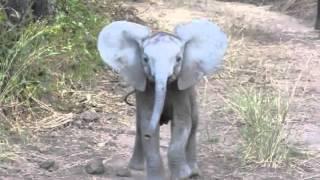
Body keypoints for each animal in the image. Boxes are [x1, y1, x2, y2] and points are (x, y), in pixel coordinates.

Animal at [97, 19, 228, 180]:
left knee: (194, 124)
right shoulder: (146, 90)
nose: (148, 133)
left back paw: (194, 172)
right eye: (145, 59)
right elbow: (146, 123)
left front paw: (182, 176)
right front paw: (157, 177)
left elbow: (182, 124)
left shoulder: (181, 92)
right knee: (139, 126)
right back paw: (136, 168)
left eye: (178, 59)